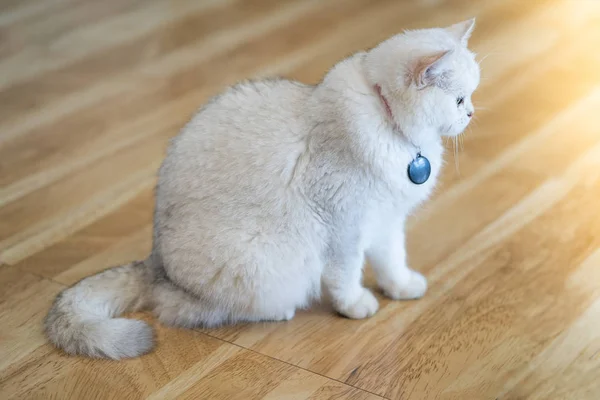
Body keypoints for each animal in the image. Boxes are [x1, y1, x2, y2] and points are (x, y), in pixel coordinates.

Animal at [44, 19, 480, 360]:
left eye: (470, 97)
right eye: (459, 100)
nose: (473, 114)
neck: (397, 132)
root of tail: (154, 263)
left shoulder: (386, 221)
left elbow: (392, 261)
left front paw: (402, 288)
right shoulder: (345, 231)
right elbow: (347, 276)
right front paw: (358, 306)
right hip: (265, 264)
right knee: (186, 311)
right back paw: (280, 311)